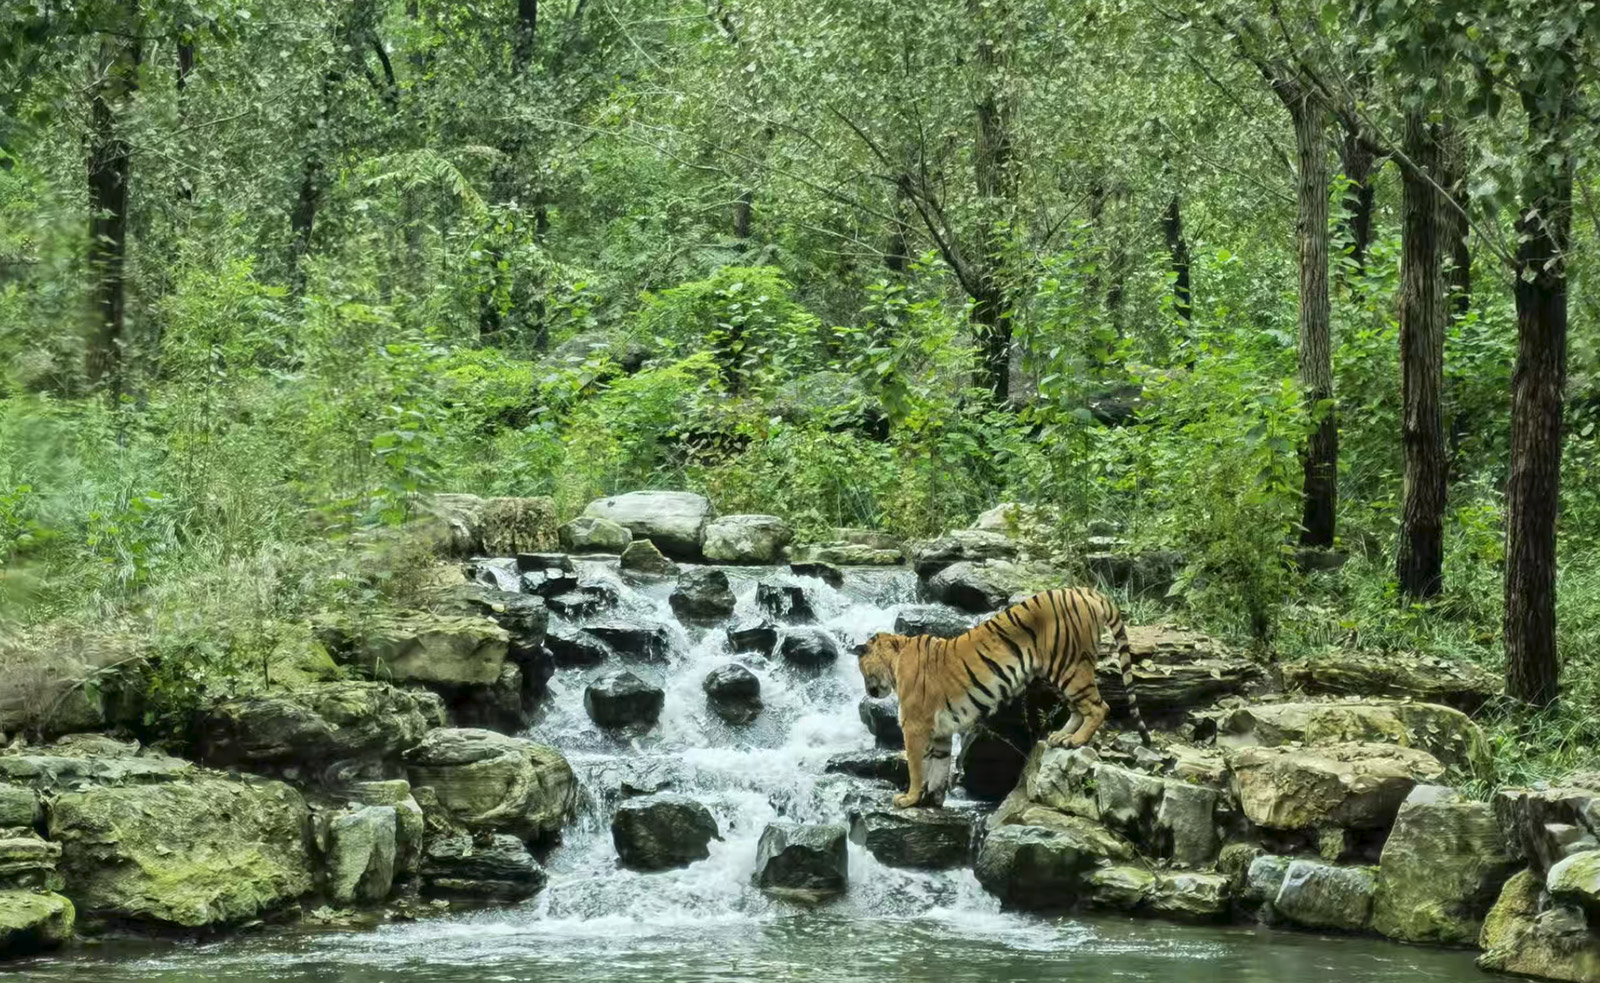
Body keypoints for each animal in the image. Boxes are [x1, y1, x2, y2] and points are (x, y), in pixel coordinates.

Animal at [857, 586, 1150, 809]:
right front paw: (932, 801)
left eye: (861, 669)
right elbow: (939, 768)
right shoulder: (941, 732)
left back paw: (1077, 741)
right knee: (1080, 708)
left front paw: (908, 799)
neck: (896, 659)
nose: (869, 692)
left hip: (1070, 665)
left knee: (1100, 707)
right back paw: (1062, 737)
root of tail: (1085, 590)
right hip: (1060, 671)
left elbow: (916, 767)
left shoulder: (914, 726)